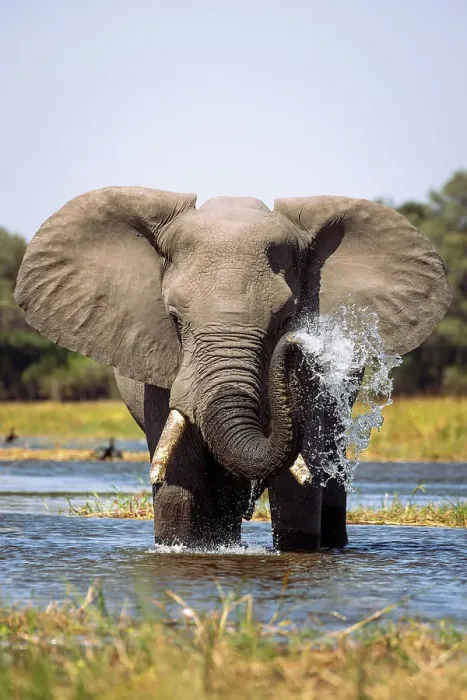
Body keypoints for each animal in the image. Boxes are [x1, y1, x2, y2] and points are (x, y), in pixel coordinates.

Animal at [14, 188, 451, 551]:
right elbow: (179, 479)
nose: (299, 343)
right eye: (174, 319)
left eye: (287, 317)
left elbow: (298, 485)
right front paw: (181, 548)